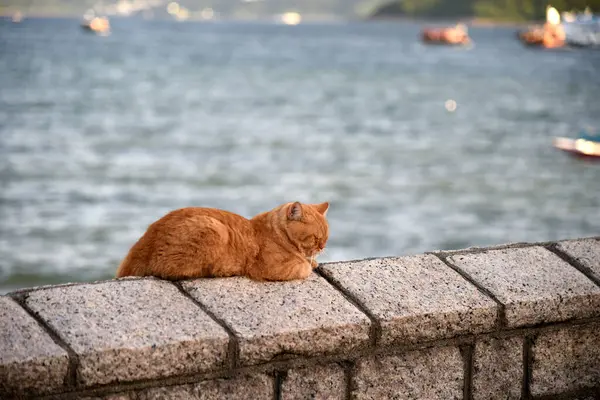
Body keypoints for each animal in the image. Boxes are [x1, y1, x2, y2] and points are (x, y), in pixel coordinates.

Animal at [115, 200, 330, 282]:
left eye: (326, 238)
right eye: (315, 238)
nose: (322, 247)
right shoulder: (275, 269)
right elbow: (303, 266)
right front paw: (309, 264)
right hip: (215, 229)